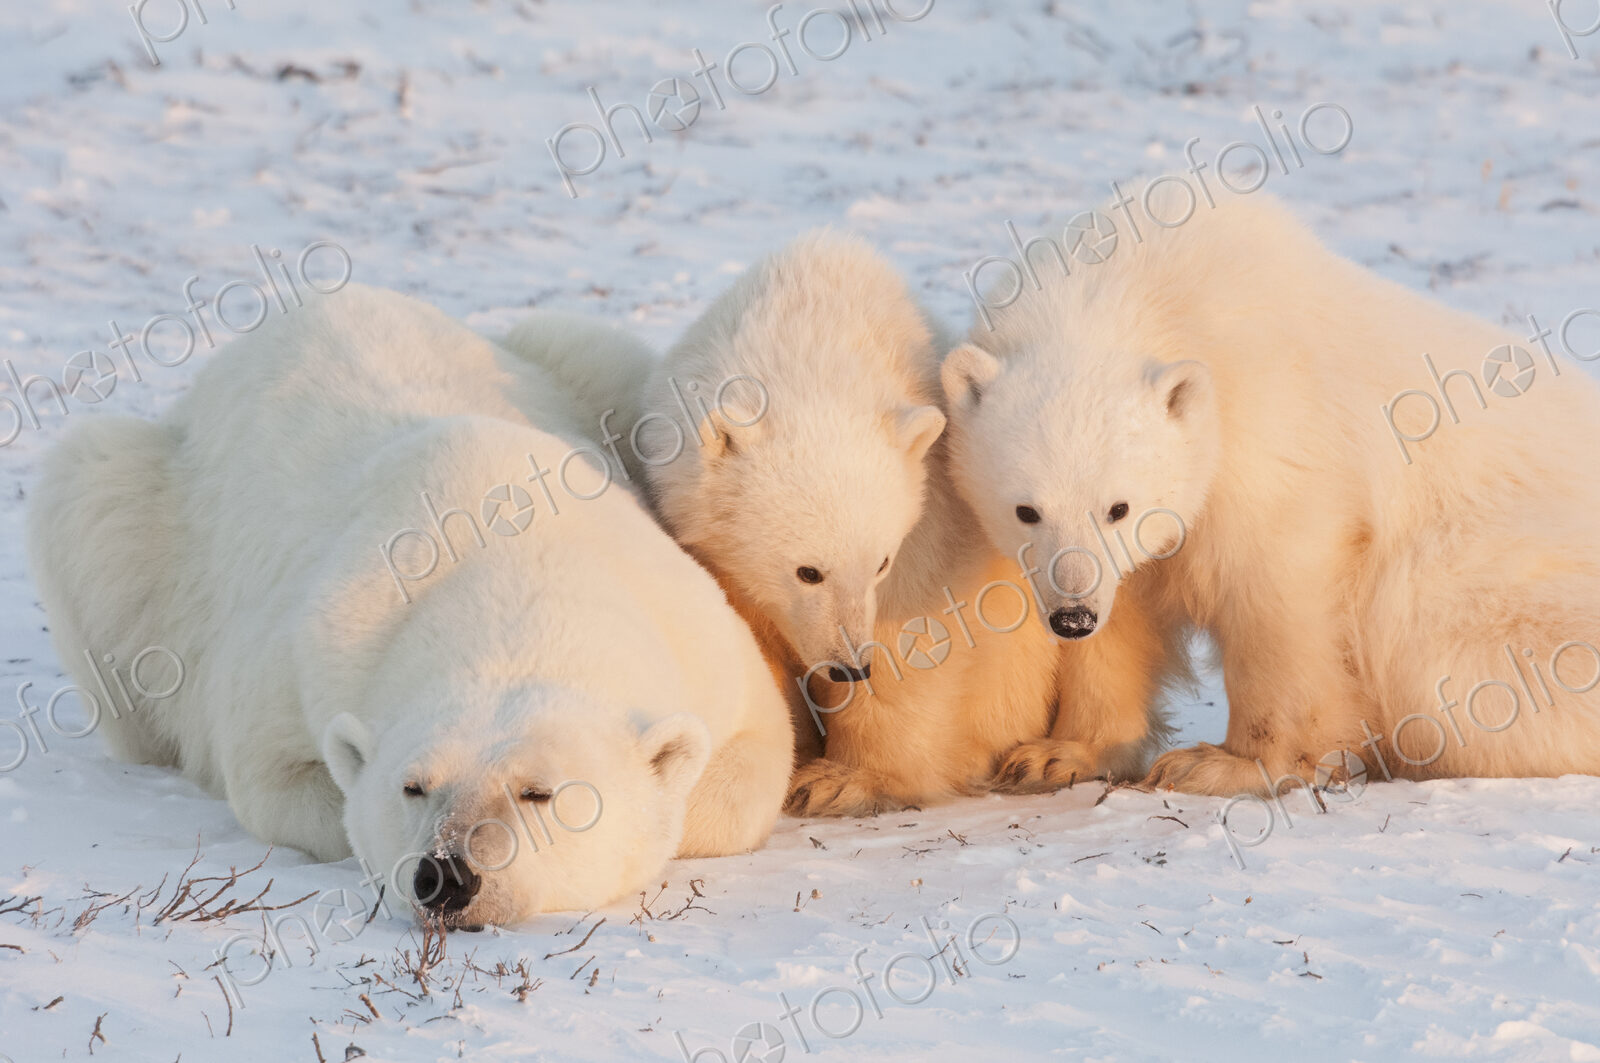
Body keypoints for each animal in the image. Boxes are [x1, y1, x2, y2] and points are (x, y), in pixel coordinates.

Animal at [26, 284, 793, 926]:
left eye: (540, 792)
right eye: (414, 786)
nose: (448, 876)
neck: (512, 569)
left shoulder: (698, 633)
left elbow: (753, 758)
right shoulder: (311, 652)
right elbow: (279, 778)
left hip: (575, 365)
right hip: (148, 512)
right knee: (95, 495)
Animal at [636, 230, 1175, 816]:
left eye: (881, 563)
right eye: (808, 571)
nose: (849, 667)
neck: (812, 341)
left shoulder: (930, 518)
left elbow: (914, 636)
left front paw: (839, 780)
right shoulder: (718, 551)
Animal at [941, 187, 1600, 799]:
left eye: (1118, 508)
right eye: (1027, 510)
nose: (1072, 617)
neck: (1142, 287)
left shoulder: (1273, 431)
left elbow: (1275, 594)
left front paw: (1222, 765)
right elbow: (1125, 610)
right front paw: (1056, 755)